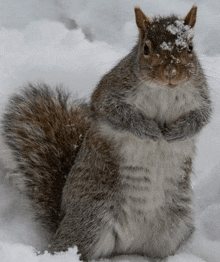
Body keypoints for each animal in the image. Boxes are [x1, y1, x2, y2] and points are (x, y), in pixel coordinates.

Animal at [1, 4, 211, 262]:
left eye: (190, 47)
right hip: (92, 220)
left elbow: (201, 118)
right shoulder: (110, 93)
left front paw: (177, 132)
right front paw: (149, 130)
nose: (171, 73)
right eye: (146, 48)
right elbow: (117, 114)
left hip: (175, 225)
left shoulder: (201, 97)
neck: (165, 90)